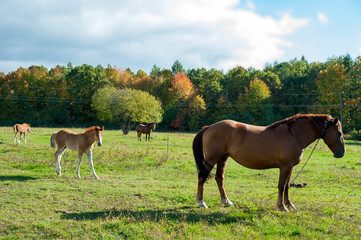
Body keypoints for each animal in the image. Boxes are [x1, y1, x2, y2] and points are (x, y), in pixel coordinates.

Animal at [193, 113, 344, 211]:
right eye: (339, 133)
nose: (342, 153)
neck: (293, 134)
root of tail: (209, 127)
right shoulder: (285, 166)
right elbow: (281, 186)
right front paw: (281, 207)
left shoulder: (290, 167)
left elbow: (287, 186)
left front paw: (290, 205)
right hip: (212, 159)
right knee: (202, 177)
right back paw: (201, 203)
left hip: (223, 158)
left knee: (219, 178)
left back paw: (226, 202)